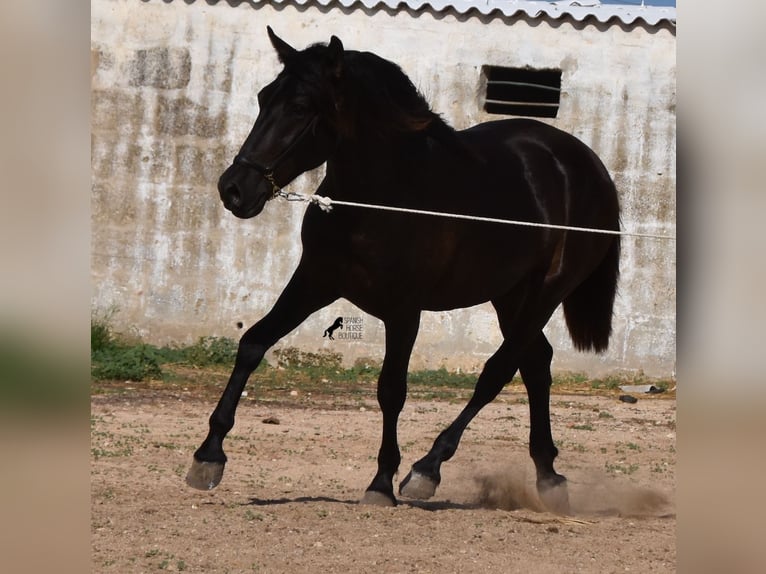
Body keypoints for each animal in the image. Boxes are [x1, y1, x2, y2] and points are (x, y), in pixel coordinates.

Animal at [188, 28, 624, 512]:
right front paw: (208, 456)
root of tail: (590, 167)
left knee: (498, 371)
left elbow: (391, 388)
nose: (233, 189)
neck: (383, 199)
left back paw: (427, 470)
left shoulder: (404, 310)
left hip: (546, 292)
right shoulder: (314, 282)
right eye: (264, 97)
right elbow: (253, 343)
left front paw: (381, 481)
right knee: (535, 364)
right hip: (509, 295)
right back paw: (548, 476)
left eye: (300, 107)